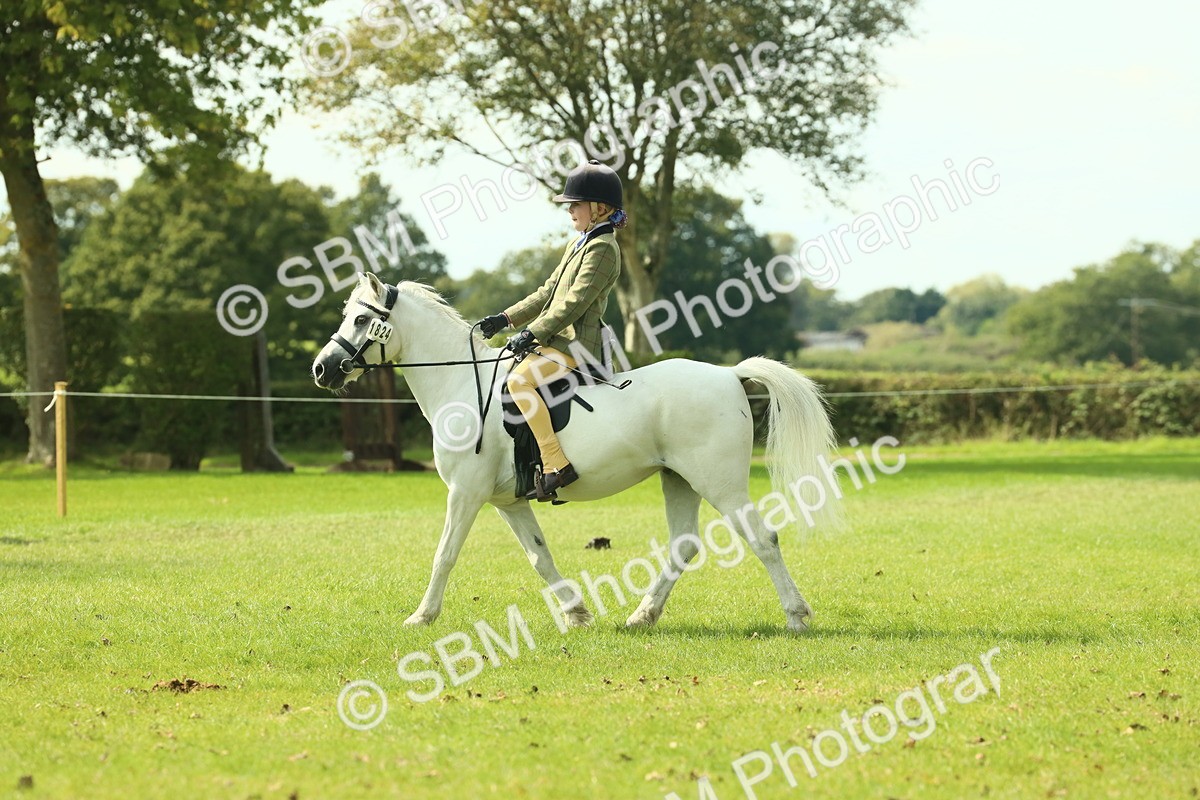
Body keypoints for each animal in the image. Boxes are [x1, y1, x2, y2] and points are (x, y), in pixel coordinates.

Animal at [311, 273, 839, 633]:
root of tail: (729, 374)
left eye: (361, 319)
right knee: (683, 546)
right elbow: (539, 557)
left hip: (720, 482)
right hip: (679, 479)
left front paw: (421, 616)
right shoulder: (508, 502)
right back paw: (642, 616)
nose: (321, 369)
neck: (460, 380)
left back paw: (796, 616)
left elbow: (445, 554)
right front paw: (577, 612)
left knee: (762, 538)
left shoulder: (465, 492)